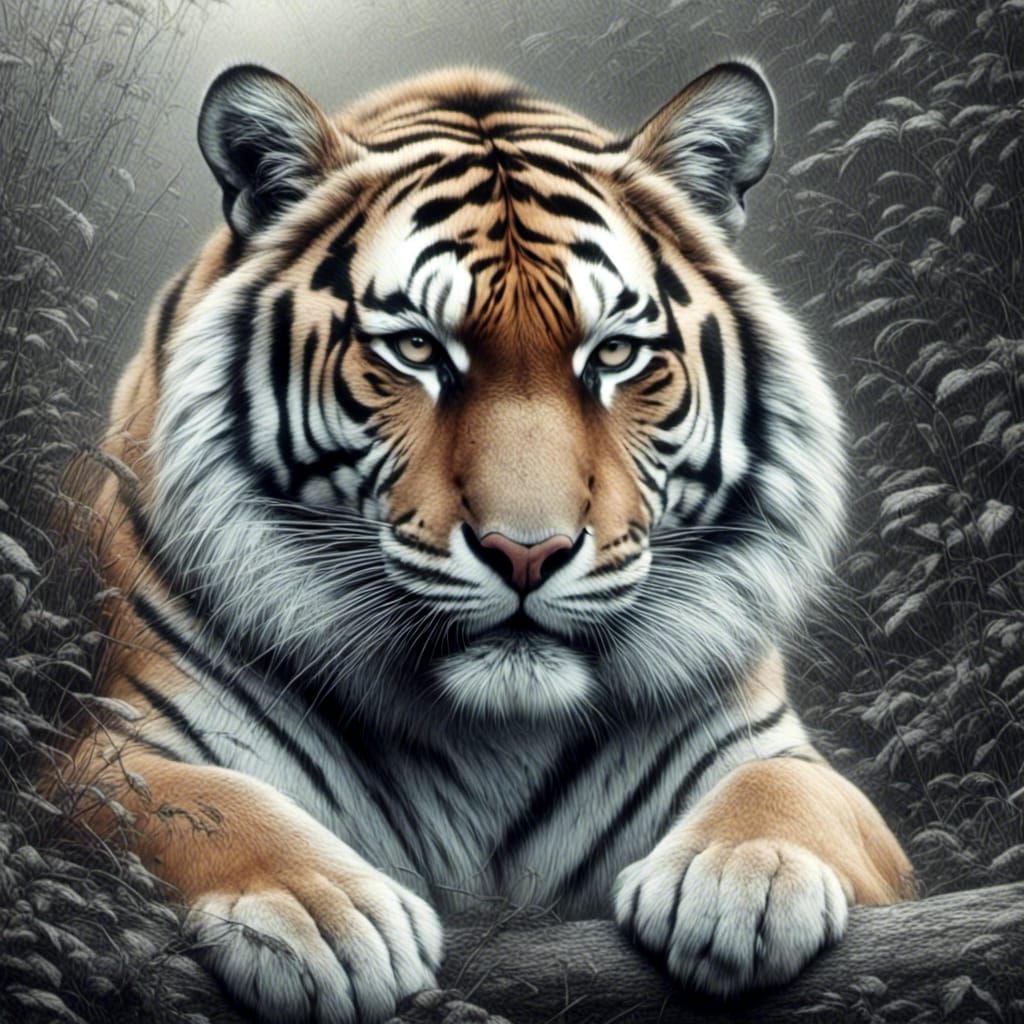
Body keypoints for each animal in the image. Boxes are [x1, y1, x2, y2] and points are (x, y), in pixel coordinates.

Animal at [65, 60, 914, 1023]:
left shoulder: (774, 751)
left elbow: (793, 787)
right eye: (415, 349)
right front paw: (321, 917)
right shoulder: (110, 751)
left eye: (613, 354)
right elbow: (189, 805)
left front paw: (744, 877)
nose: (526, 554)